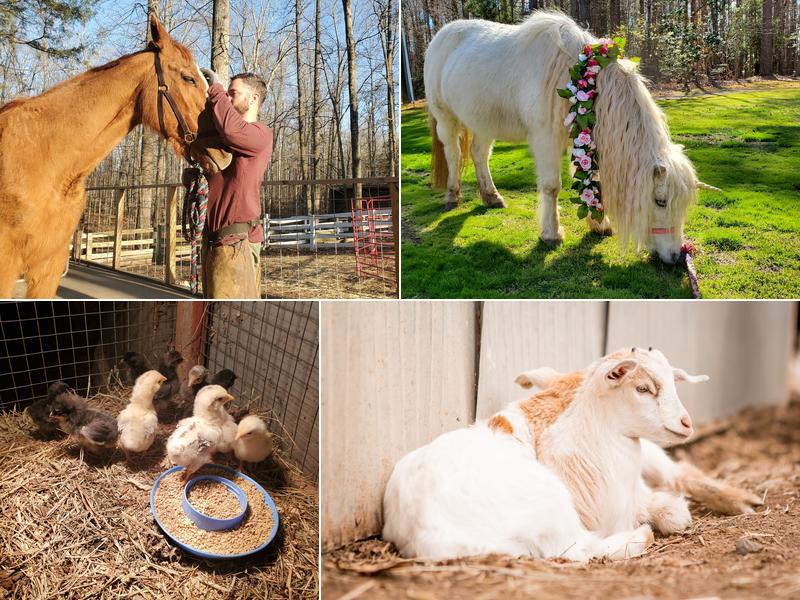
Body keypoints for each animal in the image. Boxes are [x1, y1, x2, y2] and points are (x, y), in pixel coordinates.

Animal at [425, 10, 719, 264]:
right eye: (660, 201)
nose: (676, 256)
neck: (575, 74)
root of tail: (442, 36)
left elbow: (594, 183)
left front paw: (599, 224)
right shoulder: (546, 139)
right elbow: (551, 187)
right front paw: (551, 234)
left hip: (484, 123)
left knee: (479, 155)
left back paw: (491, 196)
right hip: (446, 118)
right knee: (453, 155)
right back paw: (452, 196)